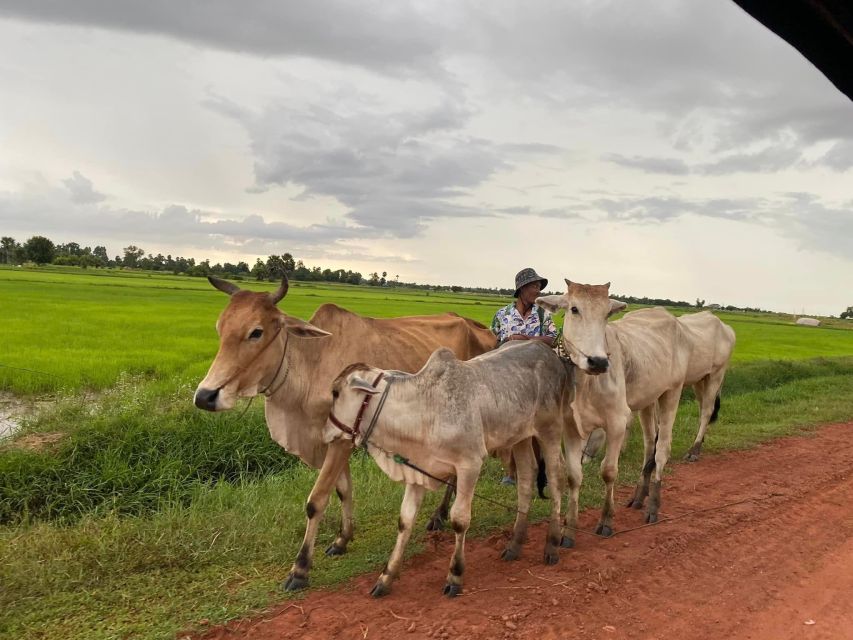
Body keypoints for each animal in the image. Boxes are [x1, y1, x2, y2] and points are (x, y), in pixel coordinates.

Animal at [192, 276, 492, 580]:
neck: (311, 365)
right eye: (220, 328)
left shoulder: (341, 442)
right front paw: (342, 539)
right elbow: (343, 491)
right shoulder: (332, 440)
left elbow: (317, 500)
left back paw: (438, 515)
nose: (205, 396)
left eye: (256, 332)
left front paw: (301, 567)